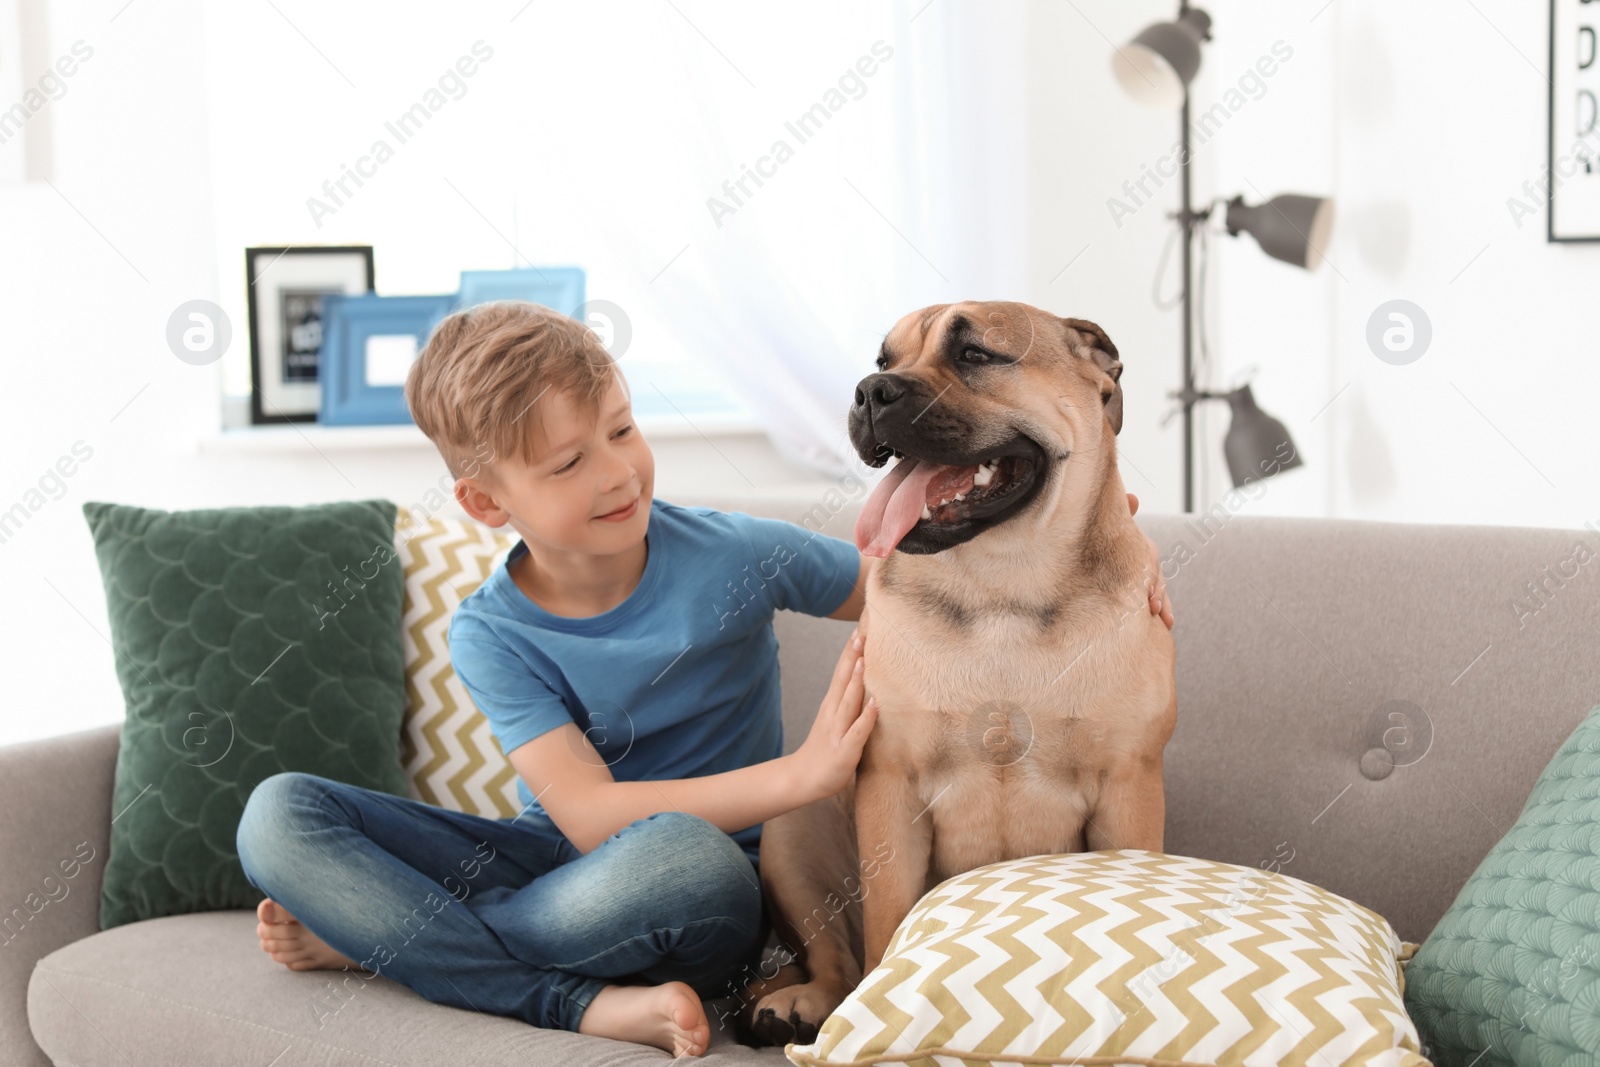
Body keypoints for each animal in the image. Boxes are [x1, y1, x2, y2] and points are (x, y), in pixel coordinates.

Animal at [736, 300, 1177, 1049]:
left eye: (975, 354)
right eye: (884, 360)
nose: (869, 391)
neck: (1003, 587)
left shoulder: (1129, 787)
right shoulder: (892, 785)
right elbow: (888, 921)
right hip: (791, 833)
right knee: (835, 955)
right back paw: (799, 1003)